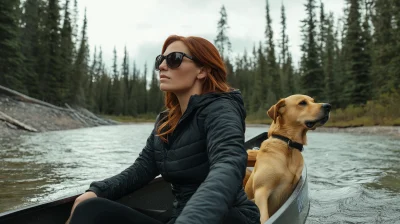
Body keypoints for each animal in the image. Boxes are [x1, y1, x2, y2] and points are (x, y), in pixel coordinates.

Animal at [244, 93, 332, 223]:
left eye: (313, 101)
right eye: (302, 103)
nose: (328, 106)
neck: (288, 145)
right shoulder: (261, 191)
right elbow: (264, 217)